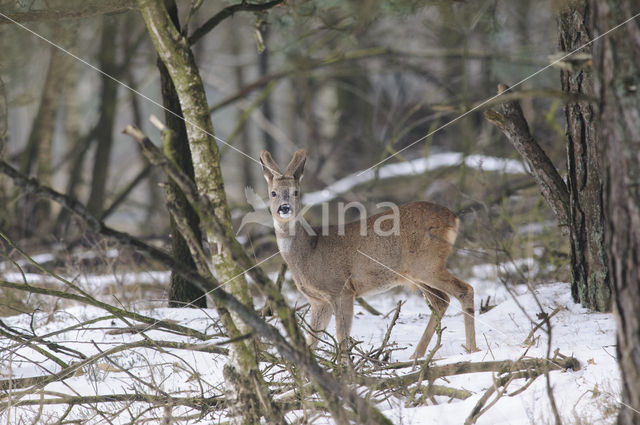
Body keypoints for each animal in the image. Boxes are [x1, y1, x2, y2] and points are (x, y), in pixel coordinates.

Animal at [258, 149, 476, 358]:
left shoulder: (341, 289)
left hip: (427, 263)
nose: (284, 208)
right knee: (441, 301)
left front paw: (346, 370)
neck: (309, 251)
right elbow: (312, 341)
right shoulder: (319, 301)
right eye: (273, 193)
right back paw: (417, 356)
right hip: (417, 272)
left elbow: (342, 337)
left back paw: (471, 350)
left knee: (464, 289)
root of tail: (454, 217)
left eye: (296, 192)